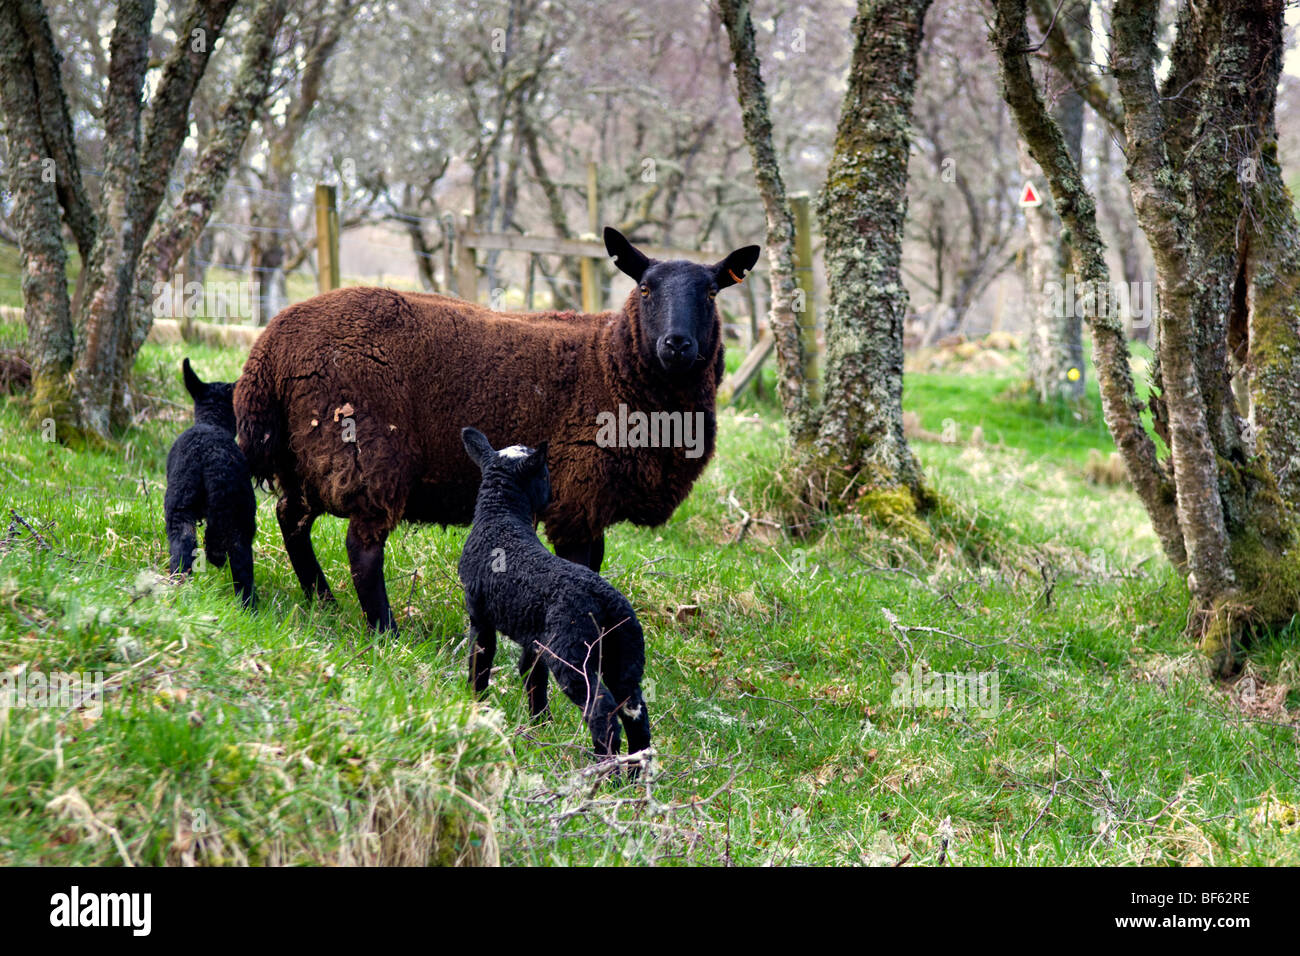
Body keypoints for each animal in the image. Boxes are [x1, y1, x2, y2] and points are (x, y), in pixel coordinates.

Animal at [166, 356, 257, 608]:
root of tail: (209, 457)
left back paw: (177, 589)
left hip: (179, 507)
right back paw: (248, 608)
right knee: (240, 559)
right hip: (241, 514)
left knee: (183, 545)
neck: (212, 422)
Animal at [233, 227, 759, 632]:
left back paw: (322, 601)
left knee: (291, 517)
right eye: (645, 289)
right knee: (361, 546)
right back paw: (386, 631)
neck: (612, 362)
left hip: (306, 452)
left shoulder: (591, 500)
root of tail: (269, 348)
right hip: (367, 450)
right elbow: (581, 570)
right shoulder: (578, 494)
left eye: (711, 292)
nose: (677, 344)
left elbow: (595, 568)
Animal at [462, 429, 655, 775]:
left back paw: (606, 775)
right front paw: (540, 725)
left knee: (602, 711)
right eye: (546, 474)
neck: (501, 516)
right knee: (635, 713)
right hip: (625, 654)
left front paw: (475, 706)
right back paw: (635, 775)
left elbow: (479, 663)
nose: (552, 498)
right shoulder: (535, 638)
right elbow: (532, 677)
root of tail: (608, 602)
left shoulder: (479, 615)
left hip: (573, 651)